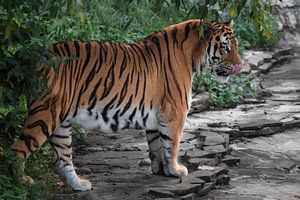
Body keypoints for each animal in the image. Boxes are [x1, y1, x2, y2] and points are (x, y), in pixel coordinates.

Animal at [10, 18, 243, 191]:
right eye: (225, 48)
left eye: (235, 46)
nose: (240, 66)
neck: (193, 56)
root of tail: (37, 58)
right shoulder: (175, 111)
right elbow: (172, 145)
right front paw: (176, 170)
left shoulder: (156, 115)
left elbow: (157, 145)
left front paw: (161, 171)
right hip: (45, 114)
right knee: (17, 150)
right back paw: (21, 183)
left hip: (61, 123)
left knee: (61, 159)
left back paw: (80, 185)